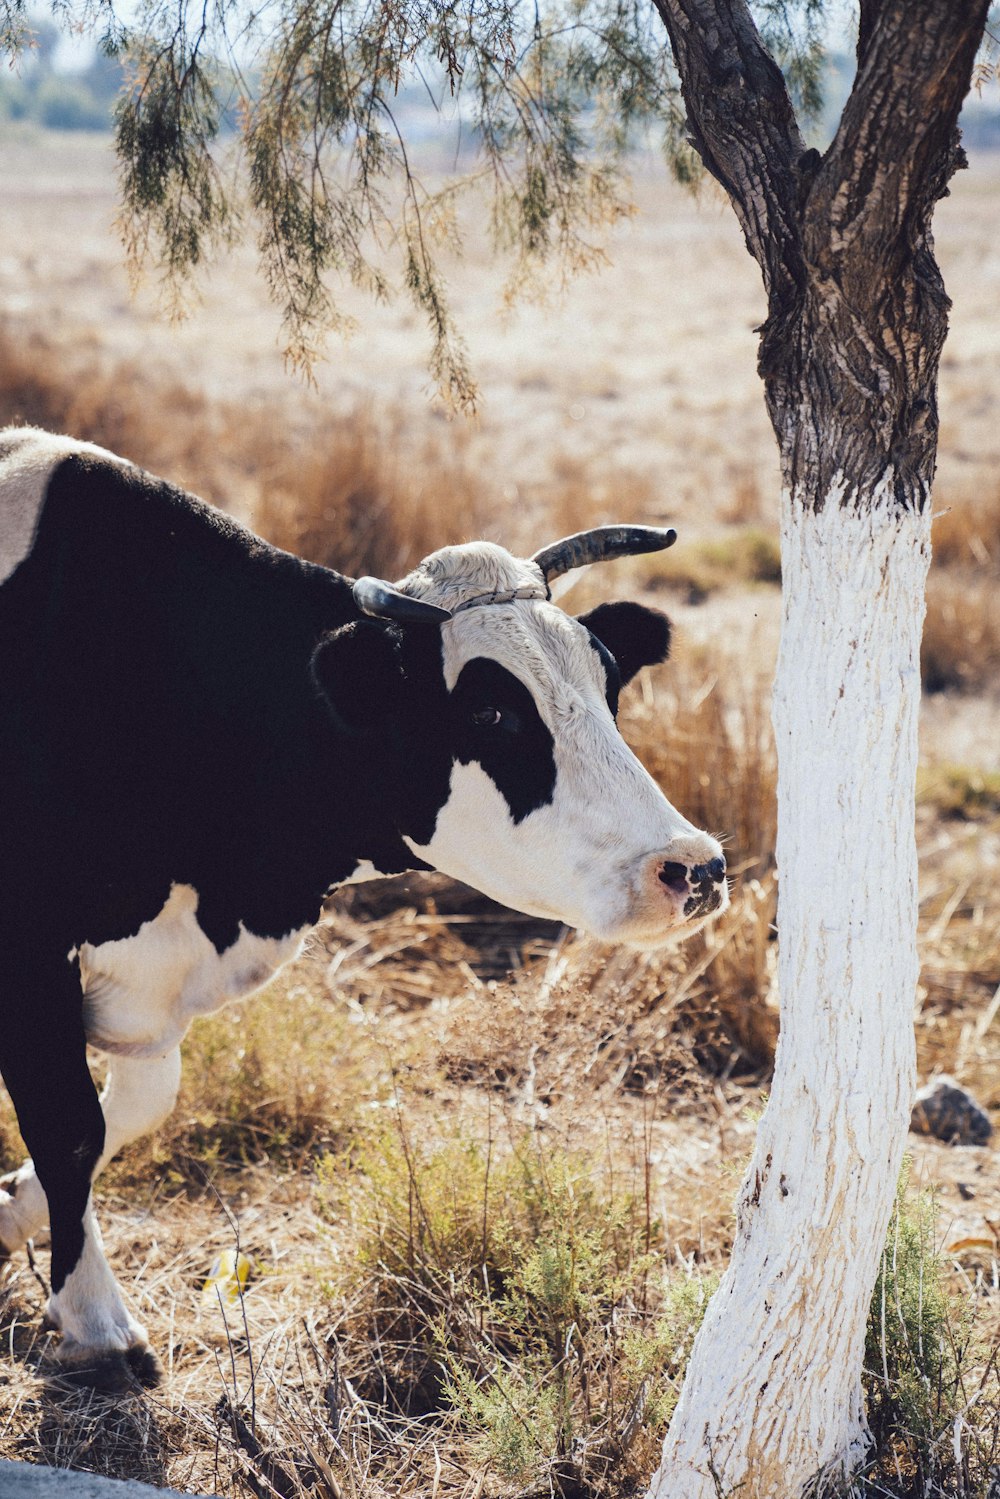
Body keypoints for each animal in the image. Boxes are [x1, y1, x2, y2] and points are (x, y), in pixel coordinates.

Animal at [0, 428, 728, 1385]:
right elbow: (70, 1123)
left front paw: (10, 1209)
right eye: (491, 712)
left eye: (609, 689)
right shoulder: (30, 945)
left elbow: (134, 1105)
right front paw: (95, 1320)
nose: (694, 867)